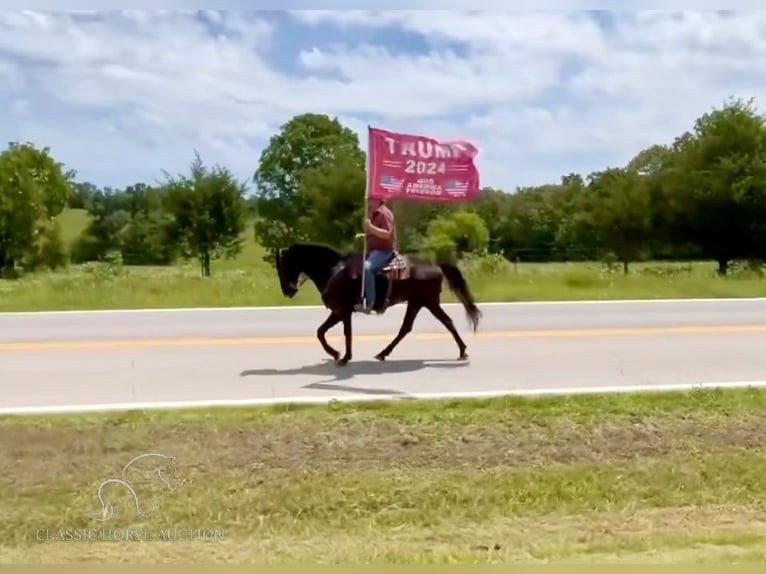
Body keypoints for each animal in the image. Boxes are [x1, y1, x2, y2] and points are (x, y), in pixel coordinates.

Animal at [274, 245, 480, 366]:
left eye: (282, 267)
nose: (286, 291)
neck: (333, 270)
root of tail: (436, 265)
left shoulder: (343, 310)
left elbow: (342, 333)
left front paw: (342, 356)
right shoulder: (339, 311)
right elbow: (321, 331)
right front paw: (337, 354)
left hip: (428, 302)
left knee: (446, 322)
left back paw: (462, 351)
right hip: (417, 302)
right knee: (408, 328)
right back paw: (383, 353)